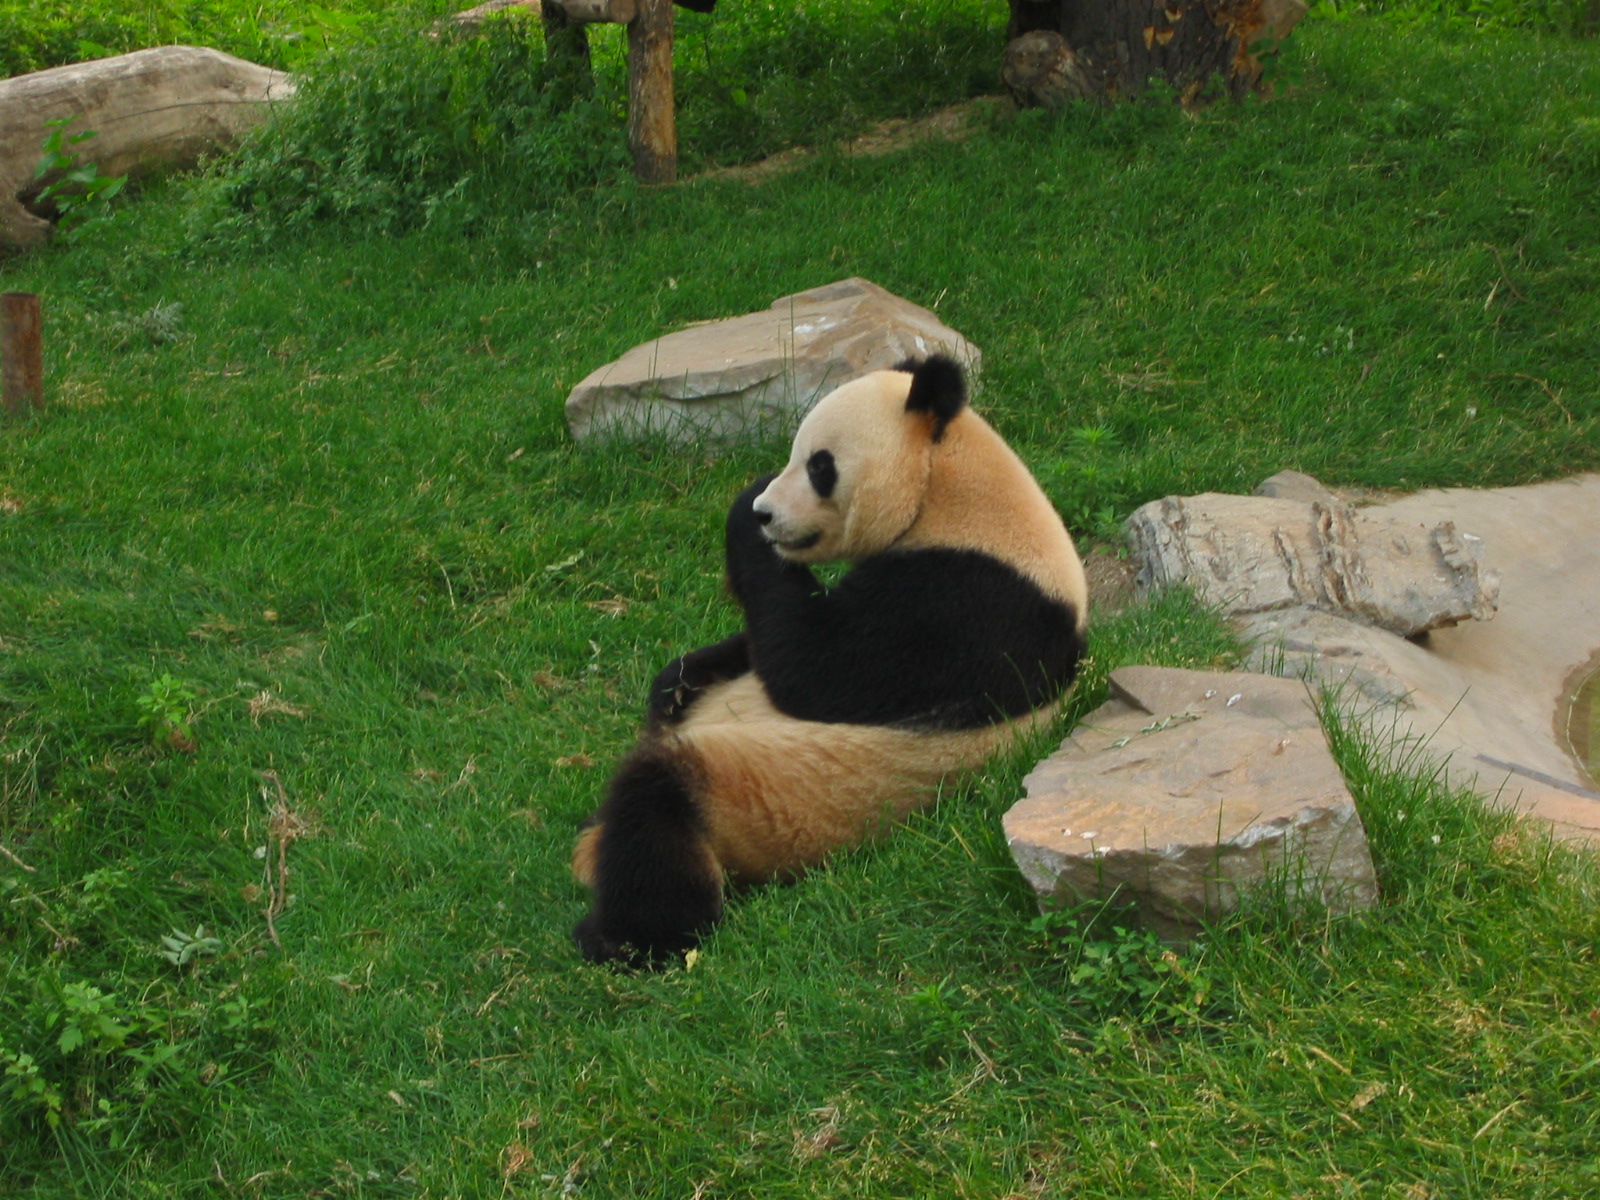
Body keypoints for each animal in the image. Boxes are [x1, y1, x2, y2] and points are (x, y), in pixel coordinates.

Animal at [572, 355, 1088, 966]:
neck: (950, 491)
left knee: (657, 806)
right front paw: (675, 679)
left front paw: (743, 511)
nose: (767, 513)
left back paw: (628, 937)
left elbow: (816, 666)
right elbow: (762, 646)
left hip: (777, 804)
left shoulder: (970, 602)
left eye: (820, 465)